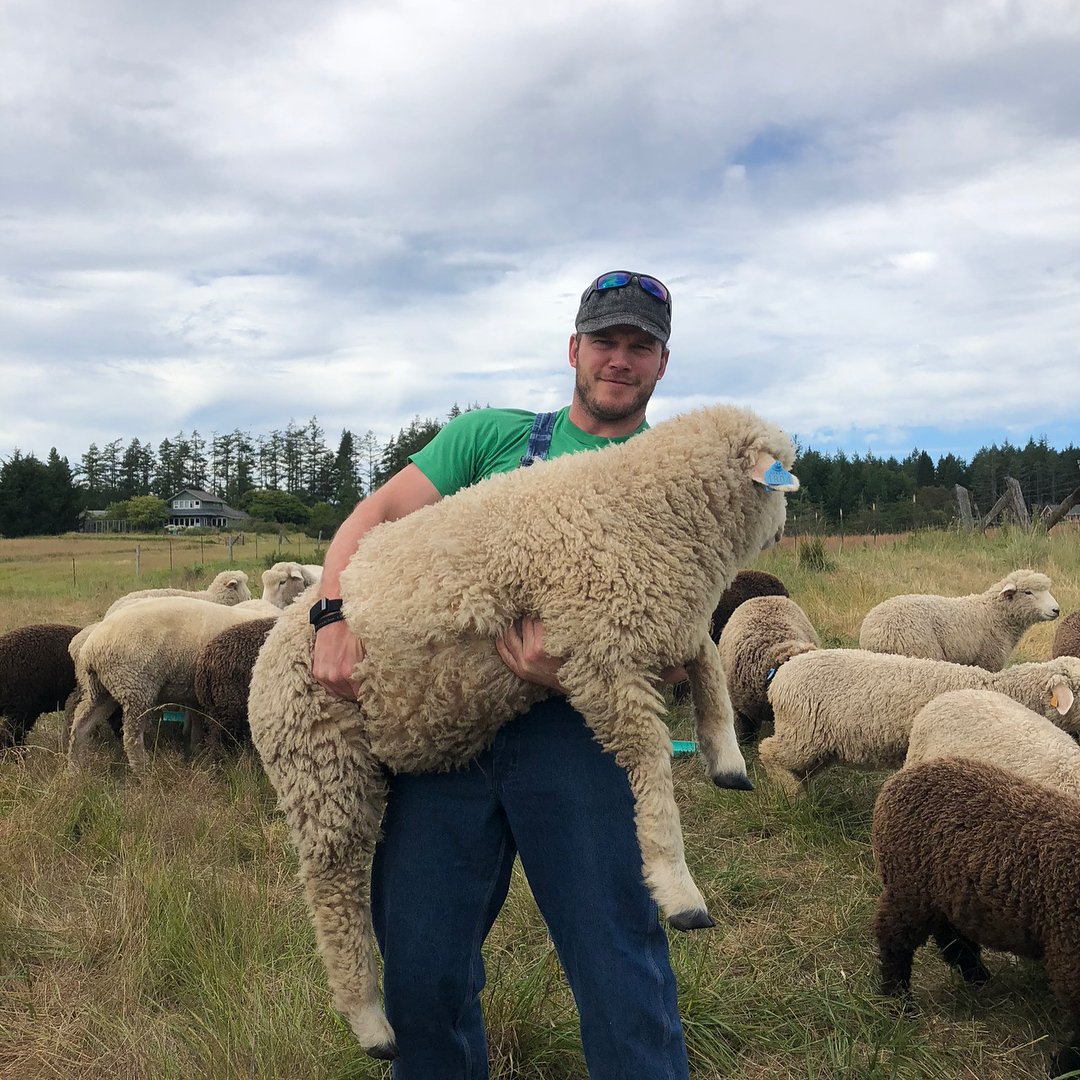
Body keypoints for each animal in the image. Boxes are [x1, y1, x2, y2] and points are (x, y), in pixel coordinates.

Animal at [68, 596, 282, 771]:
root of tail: (91, 649)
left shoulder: (199, 695)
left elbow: (197, 721)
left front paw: (196, 749)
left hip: (102, 690)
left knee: (81, 725)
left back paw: (76, 768)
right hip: (135, 687)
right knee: (131, 737)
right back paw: (143, 771)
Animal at [871, 757, 1080, 1077]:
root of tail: (898, 780)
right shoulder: (1070, 952)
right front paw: (1063, 1066)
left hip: (949, 895)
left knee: (951, 938)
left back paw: (978, 976)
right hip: (911, 890)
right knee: (895, 939)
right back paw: (899, 1000)